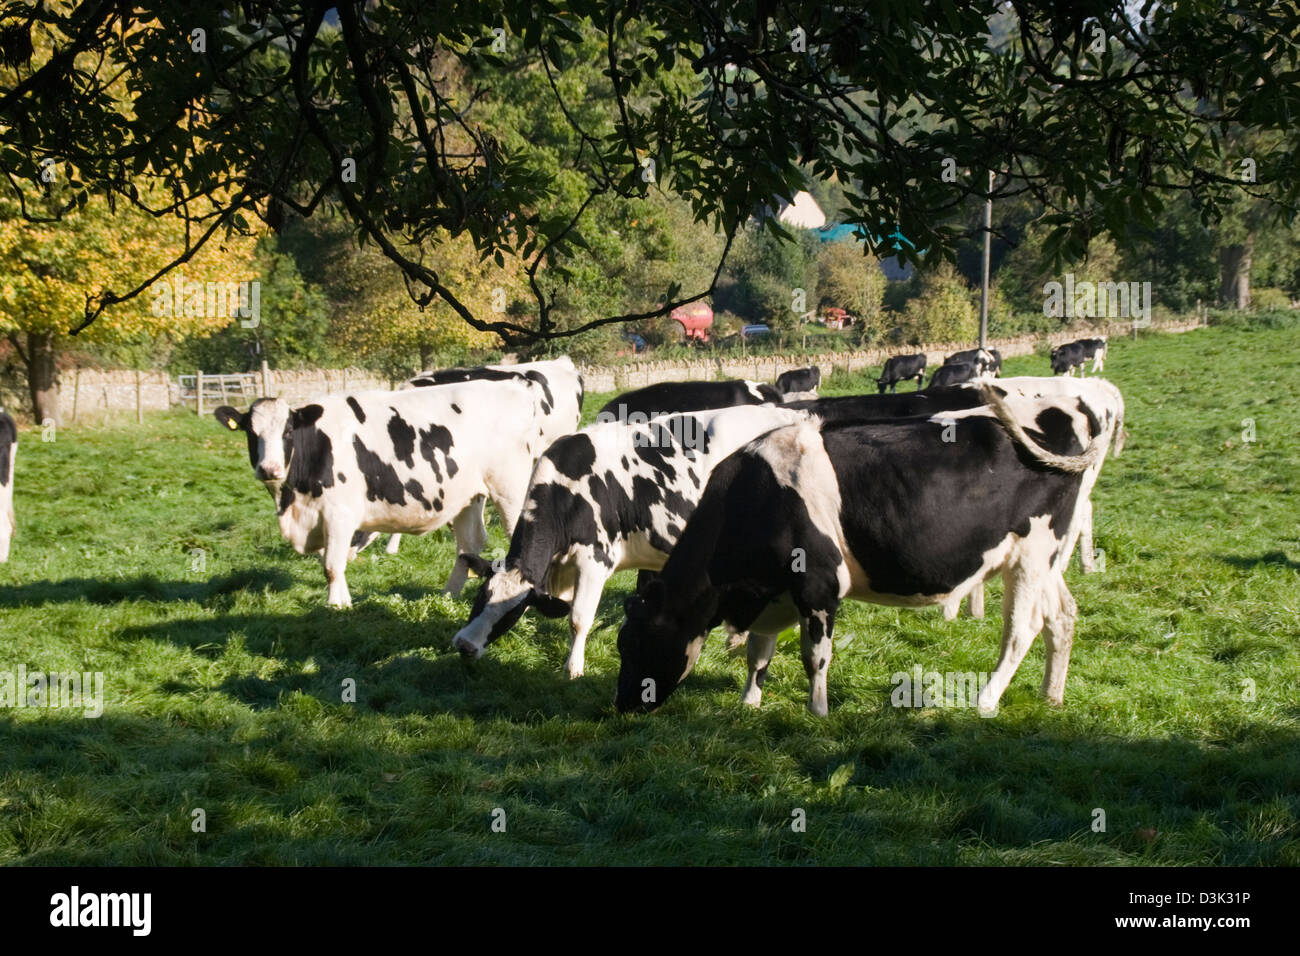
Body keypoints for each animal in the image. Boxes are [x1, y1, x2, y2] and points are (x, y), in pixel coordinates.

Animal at [217, 369, 579, 600]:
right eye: (251, 432)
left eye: (288, 431)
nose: (269, 468)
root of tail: (518, 385)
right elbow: (333, 563)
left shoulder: (340, 514)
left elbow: (332, 565)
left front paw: (337, 606)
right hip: (467, 495)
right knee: (469, 546)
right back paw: (448, 594)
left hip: (510, 489)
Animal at [613, 382, 1123, 717]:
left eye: (636, 642)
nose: (621, 706)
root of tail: (1068, 408)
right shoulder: (774, 592)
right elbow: (759, 652)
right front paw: (749, 701)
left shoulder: (819, 583)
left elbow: (814, 655)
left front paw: (818, 712)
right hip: (1047, 558)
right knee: (1062, 615)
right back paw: (1051, 695)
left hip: (1034, 555)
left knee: (1022, 628)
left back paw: (986, 699)